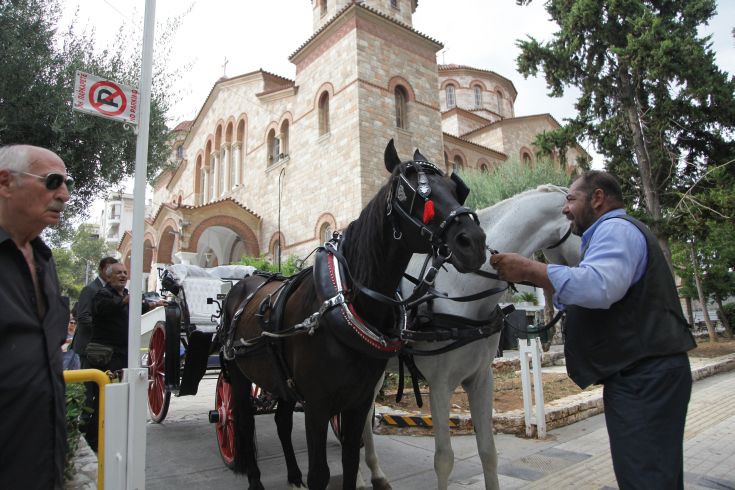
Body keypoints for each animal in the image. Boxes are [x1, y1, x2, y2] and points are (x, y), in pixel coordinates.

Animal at [220, 140, 488, 488]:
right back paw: (254, 478)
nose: (474, 242)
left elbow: (350, 459)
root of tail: (244, 283)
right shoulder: (318, 406)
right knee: (242, 423)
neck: (345, 301)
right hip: (238, 377)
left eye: (457, 190)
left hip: (282, 383)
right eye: (415, 193)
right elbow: (320, 473)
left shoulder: (358, 402)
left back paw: (293, 475)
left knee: (281, 421)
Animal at [360, 185, 584, 490]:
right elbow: (444, 459)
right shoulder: (440, 385)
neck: (460, 289)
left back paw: (376, 473)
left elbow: (488, 452)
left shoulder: (481, 379)